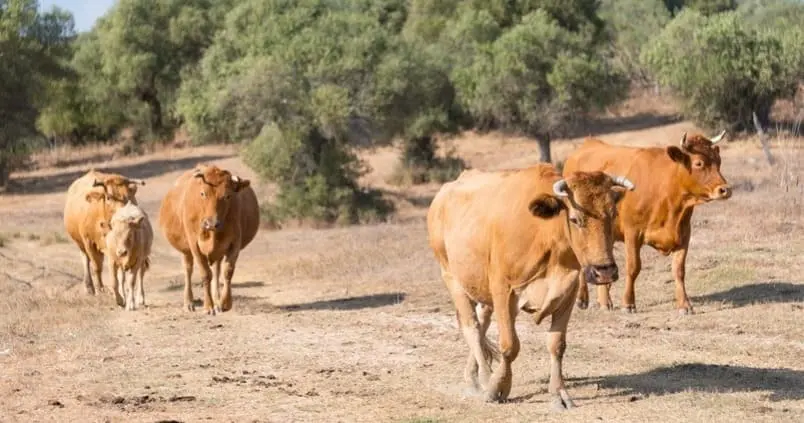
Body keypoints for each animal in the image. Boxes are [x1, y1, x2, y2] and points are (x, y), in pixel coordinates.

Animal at [63, 169, 146, 298]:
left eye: (128, 197)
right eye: (108, 197)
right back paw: (89, 286)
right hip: (80, 243)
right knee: (85, 259)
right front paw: (100, 289)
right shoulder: (88, 242)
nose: (124, 214)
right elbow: (97, 266)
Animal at [159, 164, 259, 315]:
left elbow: (227, 271)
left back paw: (217, 301)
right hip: (186, 250)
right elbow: (205, 273)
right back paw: (189, 303)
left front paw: (225, 303)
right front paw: (208, 306)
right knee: (188, 270)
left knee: (216, 271)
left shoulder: (235, 243)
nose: (211, 223)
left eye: (227, 196)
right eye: (202, 194)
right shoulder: (194, 245)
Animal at [427, 164, 634, 409]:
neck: (545, 235)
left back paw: (473, 376)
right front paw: (498, 387)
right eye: (575, 219)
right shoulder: (503, 290)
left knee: (482, 321)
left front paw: (559, 393)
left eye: (613, 214)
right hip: (452, 278)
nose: (605, 271)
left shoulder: (568, 292)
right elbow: (510, 345)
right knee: (473, 328)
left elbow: (557, 344)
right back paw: (485, 378)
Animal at [563, 131, 731, 315]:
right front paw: (628, 303)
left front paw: (684, 304)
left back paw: (604, 301)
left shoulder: (684, 233)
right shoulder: (632, 232)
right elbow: (633, 267)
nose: (725, 190)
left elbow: (679, 270)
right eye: (699, 163)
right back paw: (583, 299)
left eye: (719, 161)